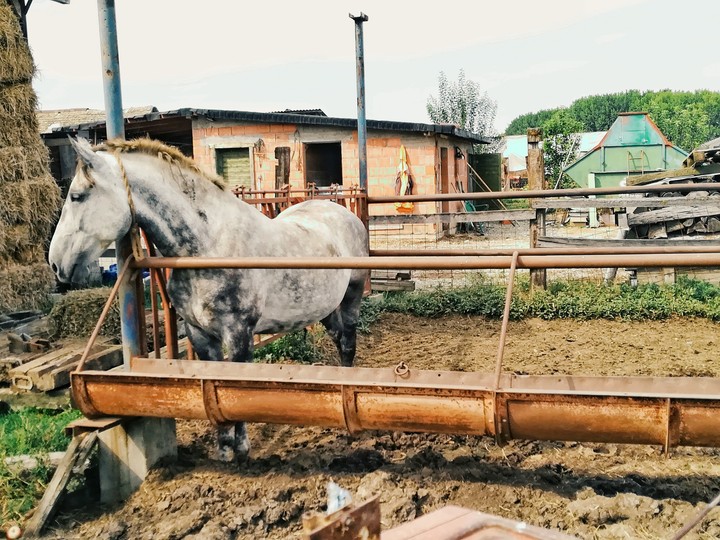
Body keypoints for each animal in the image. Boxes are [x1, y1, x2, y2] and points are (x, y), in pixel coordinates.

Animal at [48, 137, 369, 462]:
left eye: (76, 196)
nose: (55, 264)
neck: (209, 245)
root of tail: (343, 213)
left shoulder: (239, 333)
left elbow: (235, 388)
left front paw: (242, 449)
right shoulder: (199, 333)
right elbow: (213, 386)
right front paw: (224, 449)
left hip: (352, 297)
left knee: (348, 343)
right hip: (326, 309)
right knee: (339, 340)